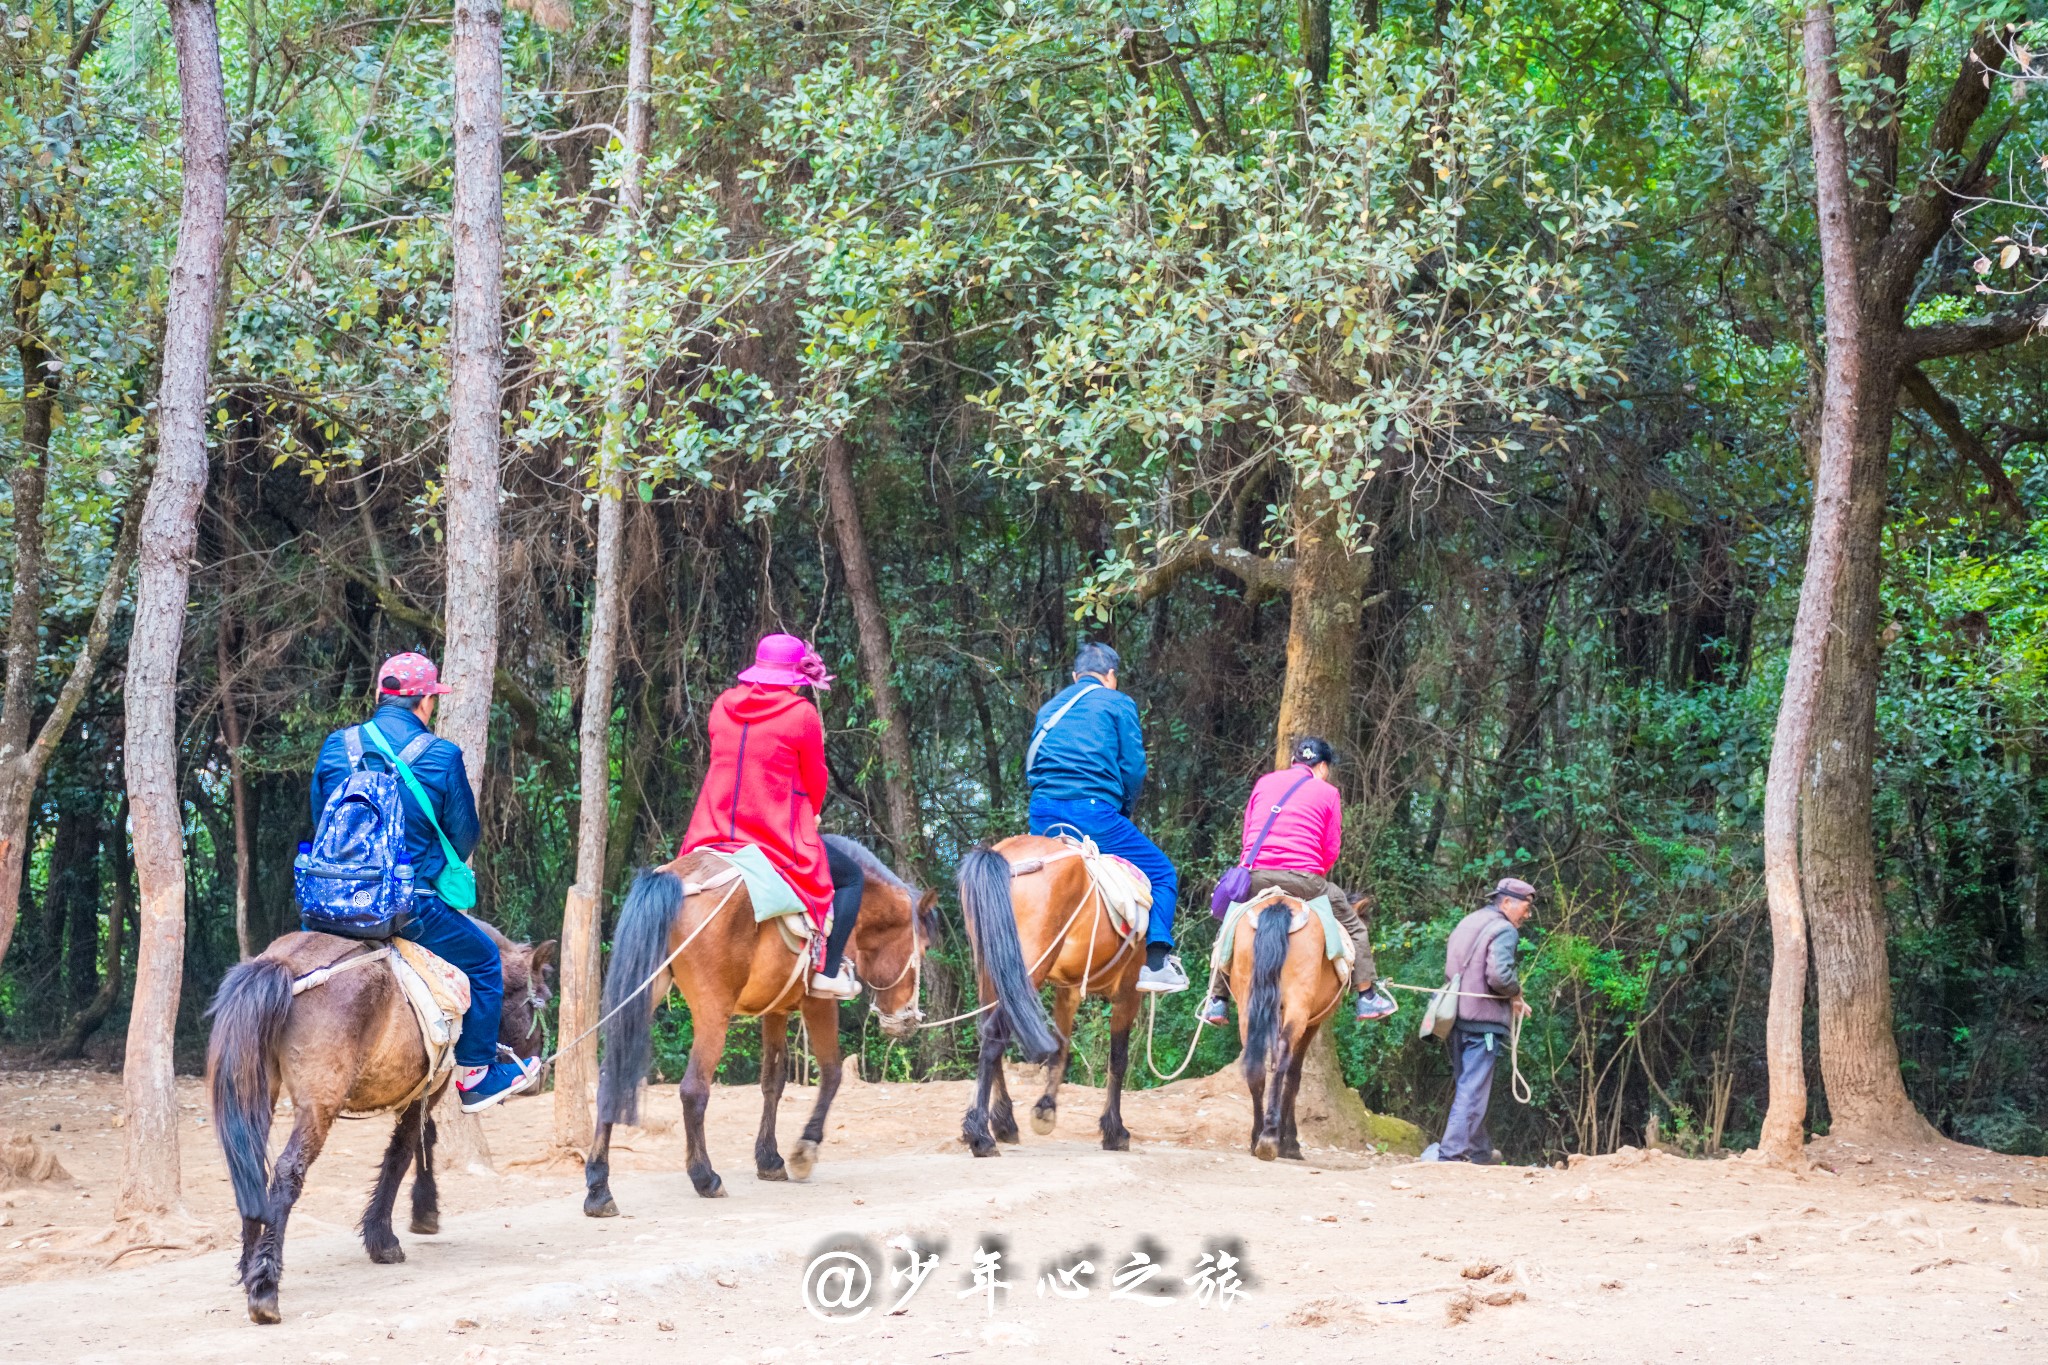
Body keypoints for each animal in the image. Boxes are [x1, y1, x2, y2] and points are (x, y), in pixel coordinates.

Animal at [202, 916, 552, 1326]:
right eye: (544, 998)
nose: (539, 1076)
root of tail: (282, 965)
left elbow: (421, 1140)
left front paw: (420, 1212)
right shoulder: (427, 1087)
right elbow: (406, 1150)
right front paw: (388, 1236)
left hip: (257, 1087)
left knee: (250, 1166)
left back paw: (249, 1267)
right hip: (319, 1102)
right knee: (288, 1170)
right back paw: (265, 1288)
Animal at [585, 834, 937, 1203]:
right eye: (924, 949)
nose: (908, 1020)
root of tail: (676, 879)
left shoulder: (776, 1009)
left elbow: (773, 1081)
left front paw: (769, 1158)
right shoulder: (819, 1003)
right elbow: (832, 1073)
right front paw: (805, 1148)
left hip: (644, 991)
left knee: (611, 1078)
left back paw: (599, 1186)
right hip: (713, 1010)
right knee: (693, 1089)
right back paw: (705, 1177)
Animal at [950, 839, 1146, 1162]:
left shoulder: (1068, 990)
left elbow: (1061, 1049)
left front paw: (1045, 1109)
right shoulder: (1129, 992)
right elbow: (1118, 1059)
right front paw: (1115, 1131)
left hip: (990, 967)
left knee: (987, 1031)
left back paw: (1003, 1123)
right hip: (1026, 968)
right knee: (994, 1035)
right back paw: (980, 1136)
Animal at [1220, 896, 1351, 1162]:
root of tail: (1279, 906)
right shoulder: (1312, 1023)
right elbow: (1294, 1076)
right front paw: (1290, 1142)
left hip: (1248, 1006)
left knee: (1256, 1065)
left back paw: (1258, 1138)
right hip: (1298, 1005)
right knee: (1282, 1056)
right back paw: (1270, 1138)